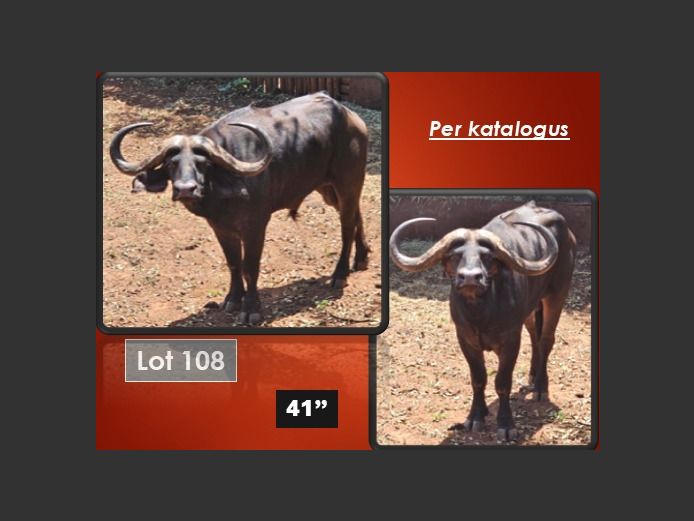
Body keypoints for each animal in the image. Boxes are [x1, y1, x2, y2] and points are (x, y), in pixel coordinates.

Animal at [109, 92, 371, 325]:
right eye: (172, 164)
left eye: (203, 164)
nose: (185, 189)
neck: (221, 196)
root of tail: (351, 117)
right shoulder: (221, 228)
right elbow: (234, 263)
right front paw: (234, 299)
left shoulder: (255, 226)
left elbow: (250, 266)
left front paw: (251, 308)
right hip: (327, 189)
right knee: (355, 214)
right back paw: (362, 258)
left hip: (348, 182)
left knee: (347, 224)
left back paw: (340, 274)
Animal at [389, 201, 576, 441]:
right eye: (455, 255)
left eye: (487, 257)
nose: (470, 277)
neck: (481, 314)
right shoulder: (465, 339)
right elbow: (478, 378)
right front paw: (476, 415)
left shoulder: (510, 340)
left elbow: (502, 383)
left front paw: (505, 424)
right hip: (531, 307)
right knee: (535, 334)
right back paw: (533, 375)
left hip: (557, 294)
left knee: (546, 339)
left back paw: (540, 387)